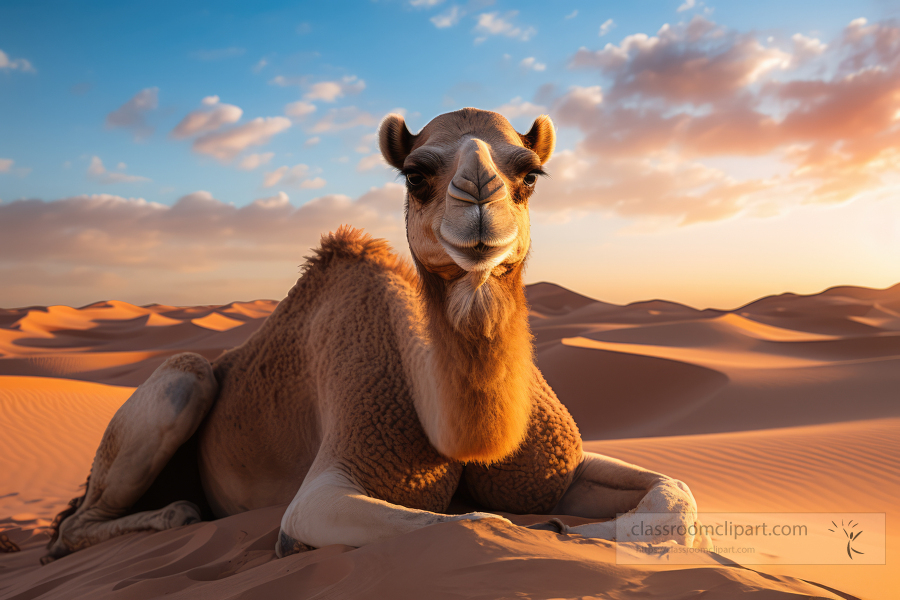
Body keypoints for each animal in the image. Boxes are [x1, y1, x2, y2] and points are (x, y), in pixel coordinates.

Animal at [42, 110, 708, 564]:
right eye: (415, 174)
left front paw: (593, 532)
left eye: (531, 174)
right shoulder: (335, 472)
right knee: (76, 523)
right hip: (182, 381)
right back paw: (171, 516)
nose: (480, 198)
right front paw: (551, 532)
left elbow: (675, 494)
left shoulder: (552, 473)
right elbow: (471, 523)